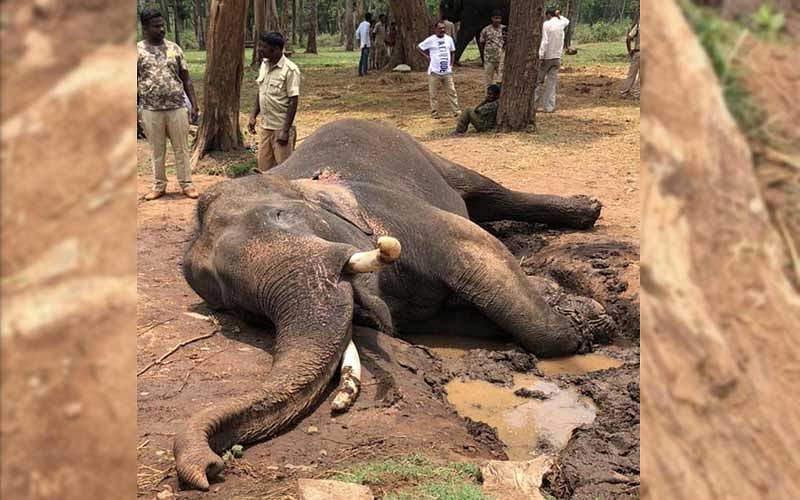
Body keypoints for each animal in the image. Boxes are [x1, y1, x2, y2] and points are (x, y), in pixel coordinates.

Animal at [173, 119, 612, 490]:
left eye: (281, 216)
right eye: (241, 308)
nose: (211, 467)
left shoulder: (391, 211)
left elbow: (473, 245)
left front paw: (585, 330)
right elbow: (444, 315)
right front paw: (579, 313)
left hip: (420, 151)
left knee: (484, 190)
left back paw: (588, 210)